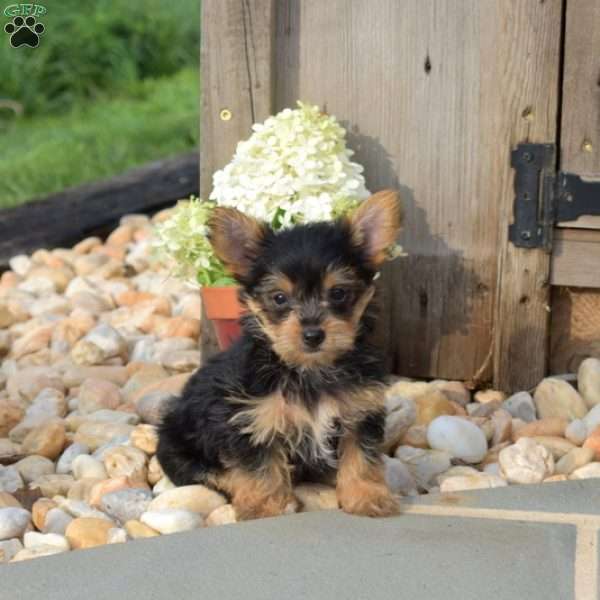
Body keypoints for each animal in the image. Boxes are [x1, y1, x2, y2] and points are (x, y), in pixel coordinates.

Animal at [157, 191, 404, 520]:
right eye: (279, 298)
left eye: (338, 293)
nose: (313, 335)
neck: (308, 369)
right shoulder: (249, 419)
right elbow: (258, 466)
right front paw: (265, 506)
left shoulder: (359, 412)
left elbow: (361, 457)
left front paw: (367, 497)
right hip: (178, 444)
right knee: (210, 472)